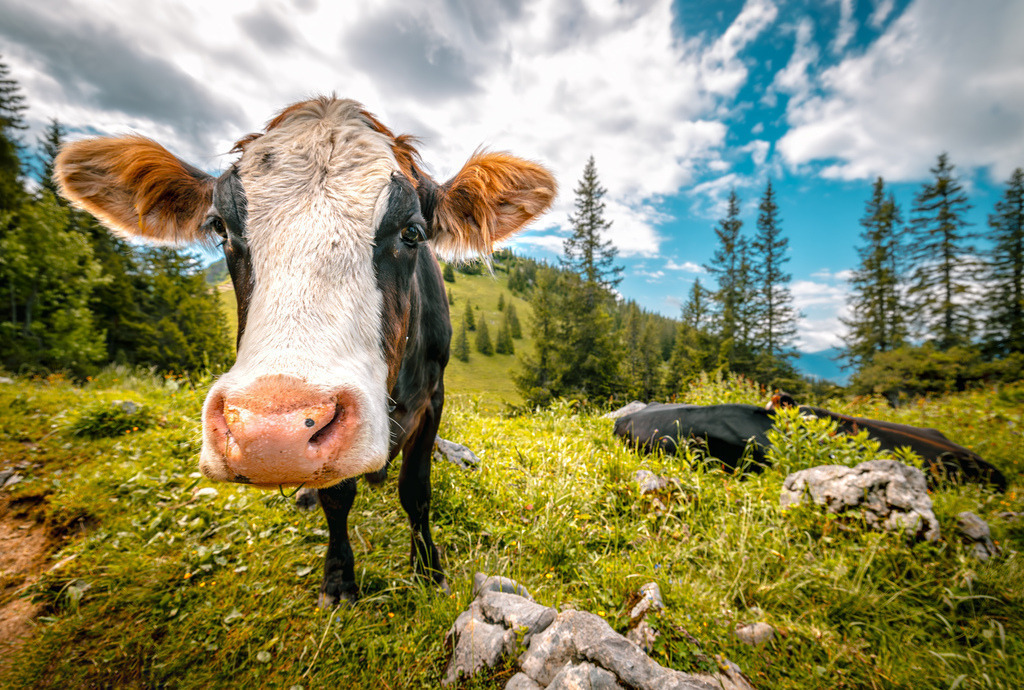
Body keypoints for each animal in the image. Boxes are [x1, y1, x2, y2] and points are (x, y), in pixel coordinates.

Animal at [54, 96, 557, 605]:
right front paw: (338, 579)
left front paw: (428, 572)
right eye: (220, 228)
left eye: (412, 232)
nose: (272, 435)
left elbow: (415, 490)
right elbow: (338, 497)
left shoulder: (434, 393)